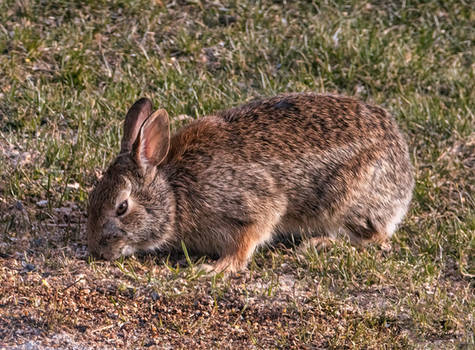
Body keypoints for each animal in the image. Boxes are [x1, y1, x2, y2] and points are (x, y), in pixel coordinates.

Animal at [87, 93, 414, 274]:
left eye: (122, 207)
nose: (97, 251)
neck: (174, 194)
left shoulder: (251, 205)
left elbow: (246, 242)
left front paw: (215, 268)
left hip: (346, 201)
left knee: (375, 238)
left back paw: (318, 244)